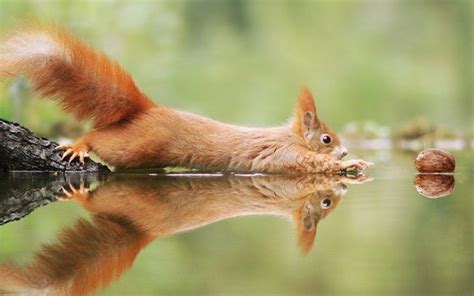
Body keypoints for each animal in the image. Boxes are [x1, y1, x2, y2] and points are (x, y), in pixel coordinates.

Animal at [0, 26, 372, 173]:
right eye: (326, 139)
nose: (345, 150)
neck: (290, 137)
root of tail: (149, 109)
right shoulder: (286, 156)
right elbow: (311, 166)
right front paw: (350, 164)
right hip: (137, 145)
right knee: (99, 139)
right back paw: (79, 145)